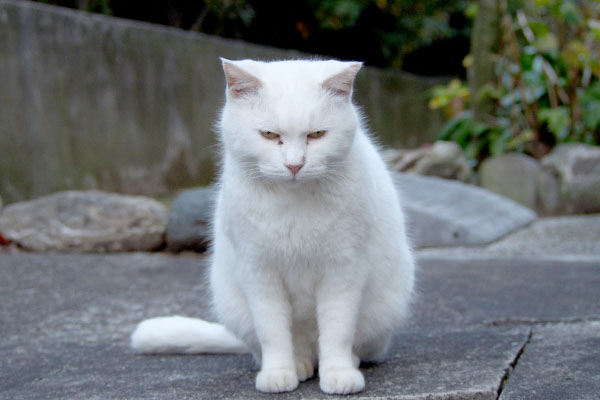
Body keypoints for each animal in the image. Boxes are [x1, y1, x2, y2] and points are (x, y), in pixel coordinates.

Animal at [130, 57, 412, 396]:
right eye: (268, 134)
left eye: (317, 134)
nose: (294, 165)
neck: (293, 204)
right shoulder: (259, 271)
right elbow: (273, 331)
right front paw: (278, 373)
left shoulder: (342, 270)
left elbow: (338, 329)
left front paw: (339, 373)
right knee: (285, 347)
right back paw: (299, 365)